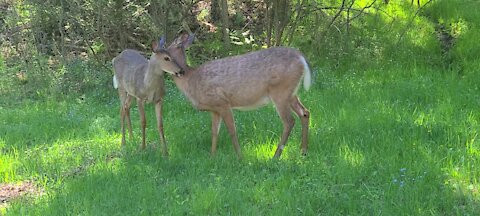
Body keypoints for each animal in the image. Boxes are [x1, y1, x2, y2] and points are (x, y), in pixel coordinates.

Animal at [167, 33, 314, 159]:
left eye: (167, 51)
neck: (191, 79)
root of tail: (301, 58)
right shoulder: (214, 109)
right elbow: (214, 131)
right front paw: (212, 156)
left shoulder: (223, 102)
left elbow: (231, 129)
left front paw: (239, 157)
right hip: (291, 93)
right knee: (305, 112)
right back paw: (303, 151)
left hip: (280, 91)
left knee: (289, 121)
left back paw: (276, 156)